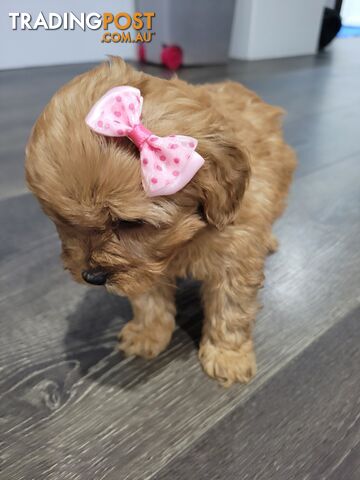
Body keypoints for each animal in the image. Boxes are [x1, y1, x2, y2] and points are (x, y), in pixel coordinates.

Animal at [24, 58, 296, 386]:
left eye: (129, 223)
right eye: (64, 220)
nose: (92, 276)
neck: (185, 239)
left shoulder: (235, 252)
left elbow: (231, 308)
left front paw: (228, 356)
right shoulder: (142, 266)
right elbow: (148, 298)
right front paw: (148, 333)